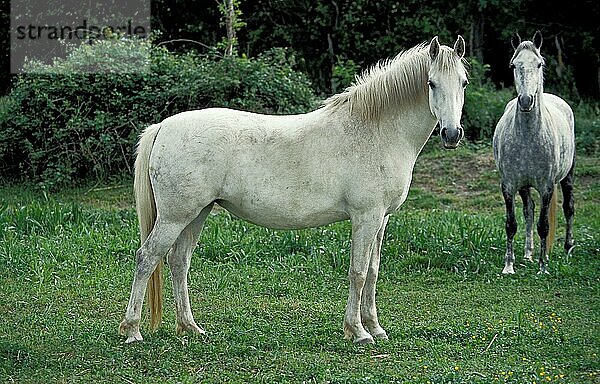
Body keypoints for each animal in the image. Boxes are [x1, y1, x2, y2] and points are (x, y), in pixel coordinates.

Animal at [120, 36, 468, 344]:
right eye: (431, 83)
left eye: (463, 83)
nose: (452, 134)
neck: (375, 131)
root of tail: (163, 126)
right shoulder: (365, 218)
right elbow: (357, 272)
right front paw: (358, 332)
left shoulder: (381, 219)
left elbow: (372, 272)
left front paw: (375, 327)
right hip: (175, 217)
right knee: (147, 258)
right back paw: (133, 330)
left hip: (197, 214)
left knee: (179, 261)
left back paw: (190, 328)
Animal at [494, 31, 576, 274]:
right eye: (513, 65)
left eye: (539, 64)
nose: (526, 100)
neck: (529, 137)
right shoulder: (509, 185)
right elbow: (511, 224)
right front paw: (509, 266)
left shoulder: (547, 186)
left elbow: (544, 225)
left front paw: (543, 268)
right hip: (525, 185)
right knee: (529, 210)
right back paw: (528, 254)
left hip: (567, 176)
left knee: (568, 208)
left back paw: (567, 249)